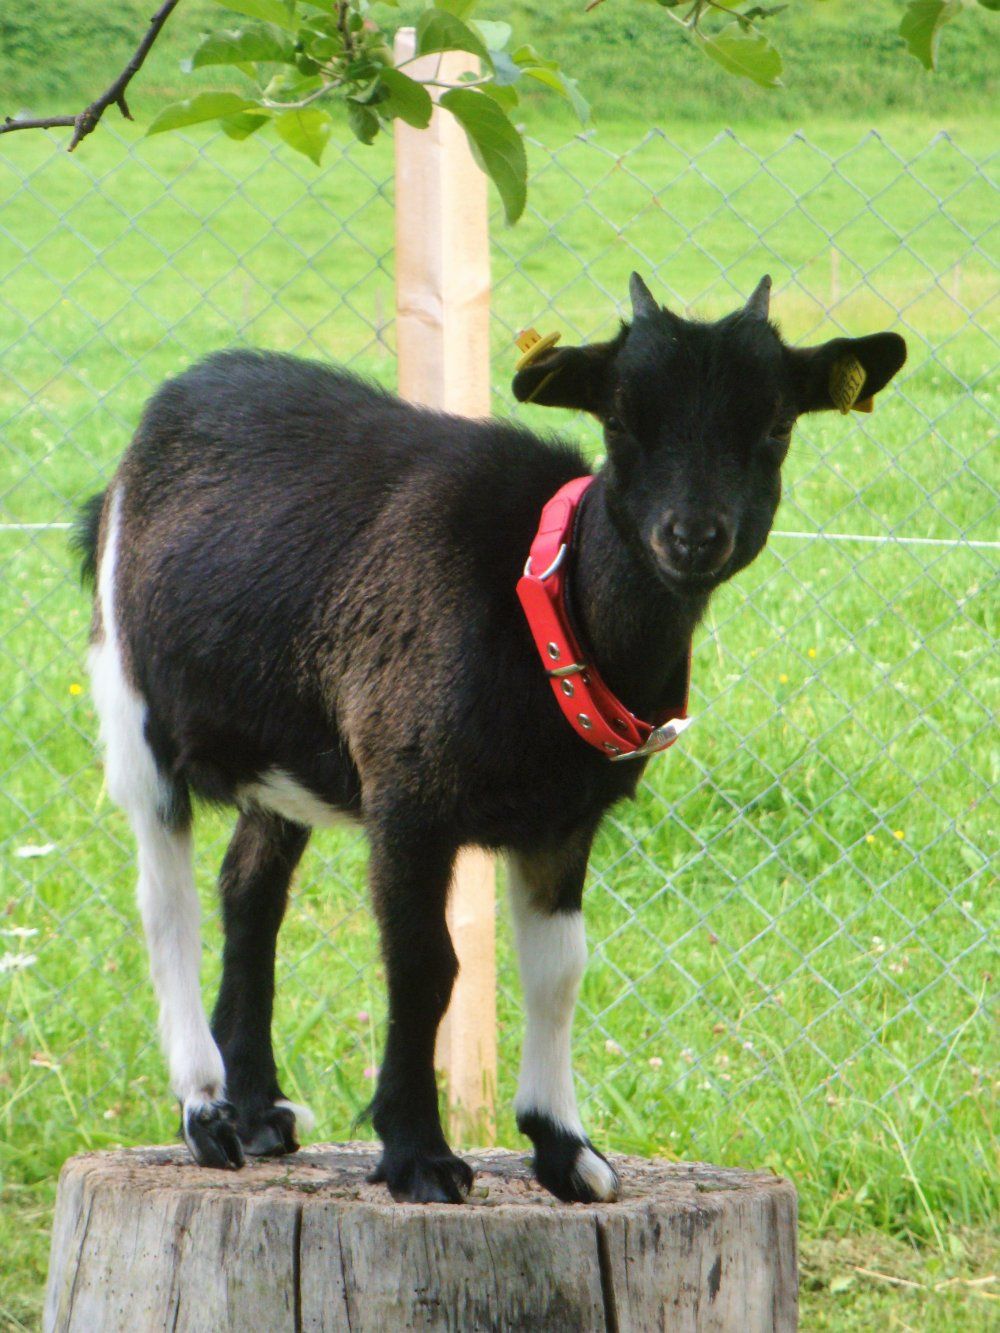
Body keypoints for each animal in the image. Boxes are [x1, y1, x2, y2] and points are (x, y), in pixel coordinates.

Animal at [76, 273, 906, 1204]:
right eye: (621, 420)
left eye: (776, 425)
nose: (692, 537)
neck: (541, 603)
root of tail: (169, 407)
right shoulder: (407, 795)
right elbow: (426, 965)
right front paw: (418, 1154)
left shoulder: (563, 820)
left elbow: (559, 969)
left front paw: (567, 1150)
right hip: (130, 694)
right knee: (165, 896)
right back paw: (206, 1108)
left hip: (285, 755)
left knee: (249, 889)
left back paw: (257, 1109)